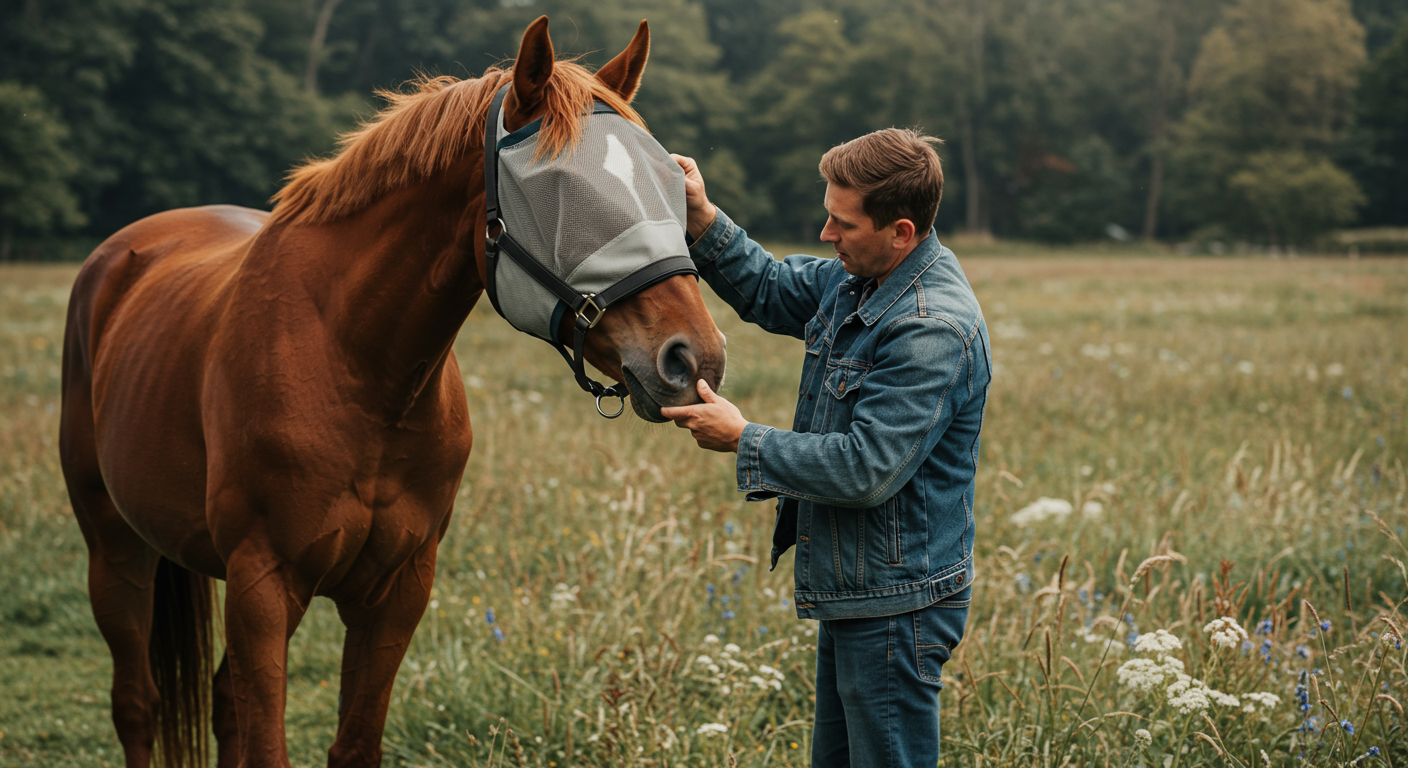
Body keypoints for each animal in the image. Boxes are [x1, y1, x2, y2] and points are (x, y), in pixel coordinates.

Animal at [58, 16, 725, 768]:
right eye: (563, 196)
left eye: (672, 183)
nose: (693, 357)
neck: (358, 368)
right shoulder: (264, 586)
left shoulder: (398, 590)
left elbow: (352, 743)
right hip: (115, 547)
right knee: (136, 703)